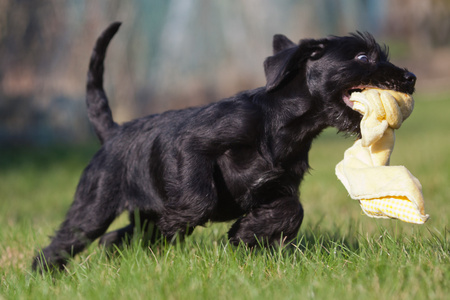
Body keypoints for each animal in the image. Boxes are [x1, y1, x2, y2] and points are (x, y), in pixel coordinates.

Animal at [33, 22, 416, 272]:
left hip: (131, 215)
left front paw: (246, 233)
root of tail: (112, 132)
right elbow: (198, 199)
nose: (410, 78)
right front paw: (189, 219)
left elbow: (292, 210)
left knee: (115, 238)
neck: (282, 125)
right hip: (93, 207)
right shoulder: (194, 146)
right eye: (363, 57)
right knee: (66, 241)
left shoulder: (280, 185)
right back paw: (43, 274)